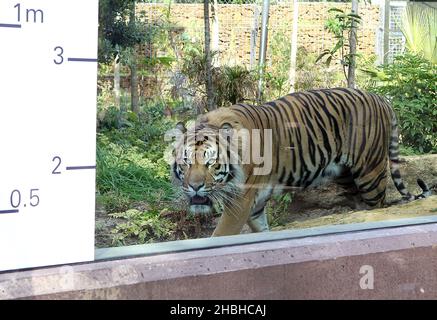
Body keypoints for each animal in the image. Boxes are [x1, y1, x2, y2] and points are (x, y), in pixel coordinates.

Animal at [169, 87, 430, 238]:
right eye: (185, 163)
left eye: (211, 163)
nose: (194, 187)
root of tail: (381, 98)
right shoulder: (255, 206)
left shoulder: (239, 203)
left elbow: (221, 235)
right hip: (347, 176)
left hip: (371, 174)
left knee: (378, 207)